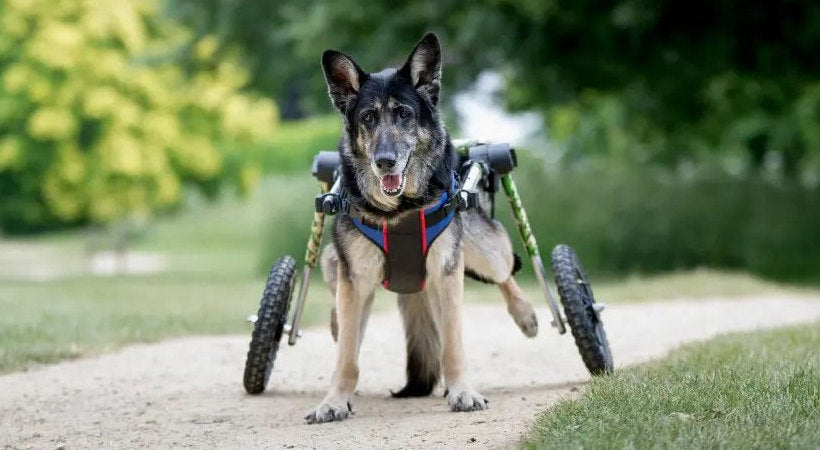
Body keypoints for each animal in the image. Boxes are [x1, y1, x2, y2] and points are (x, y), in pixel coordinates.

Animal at [308, 33, 540, 424]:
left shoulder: (448, 271)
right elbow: (347, 358)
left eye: (404, 113)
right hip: (331, 263)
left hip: (483, 250)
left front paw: (462, 391)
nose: (385, 161)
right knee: (341, 309)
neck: (399, 211)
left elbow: (453, 345)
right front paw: (334, 401)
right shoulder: (354, 279)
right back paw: (337, 322)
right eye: (368, 117)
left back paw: (526, 315)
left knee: (506, 272)